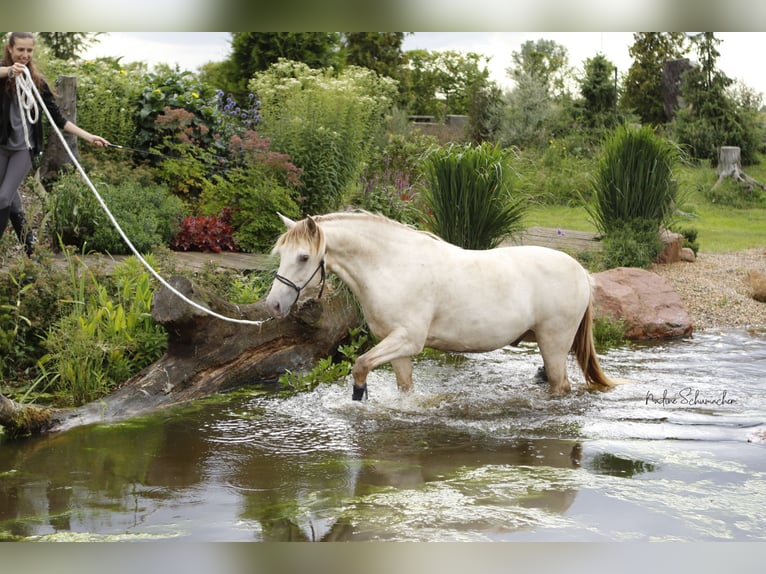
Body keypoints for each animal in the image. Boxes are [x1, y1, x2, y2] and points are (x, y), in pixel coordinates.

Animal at [264, 210, 616, 400]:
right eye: (281, 254)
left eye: (303, 257)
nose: (274, 305)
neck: (393, 265)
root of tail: (580, 271)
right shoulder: (397, 347)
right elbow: (404, 388)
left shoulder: (408, 340)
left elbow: (360, 366)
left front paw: (359, 397)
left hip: (554, 345)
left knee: (560, 386)